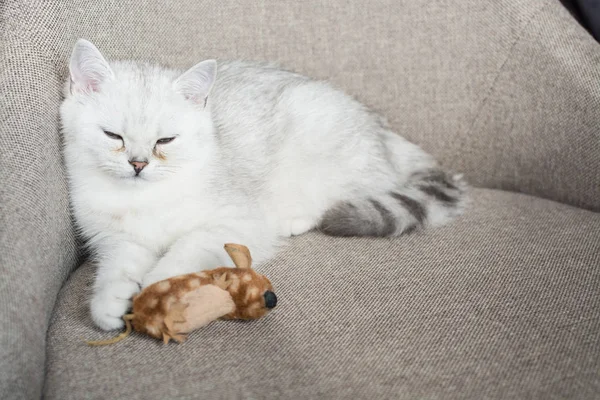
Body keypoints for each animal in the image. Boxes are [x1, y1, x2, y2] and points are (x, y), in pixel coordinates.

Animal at [61, 39, 468, 330]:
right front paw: (111, 302)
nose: (138, 164)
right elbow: (118, 266)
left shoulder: (233, 222)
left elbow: (187, 247)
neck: (145, 197)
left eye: (166, 141)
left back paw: (293, 220)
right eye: (113, 135)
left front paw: (158, 284)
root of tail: (383, 130)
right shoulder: (117, 238)